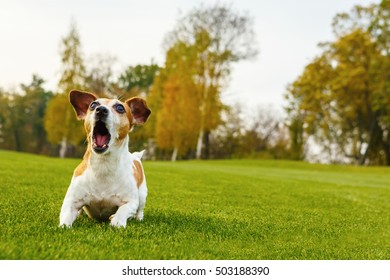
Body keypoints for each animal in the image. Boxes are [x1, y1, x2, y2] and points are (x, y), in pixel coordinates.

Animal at [59, 90, 151, 228]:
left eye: (120, 108)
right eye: (93, 105)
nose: (101, 110)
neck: (103, 164)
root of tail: (135, 156)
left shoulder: (131, 202)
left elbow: (124, 210)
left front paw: (117, 220)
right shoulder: (71, 201)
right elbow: (65, 218)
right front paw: (64, 226)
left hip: (142, 195)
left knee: (140, 210)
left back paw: (138, 218)